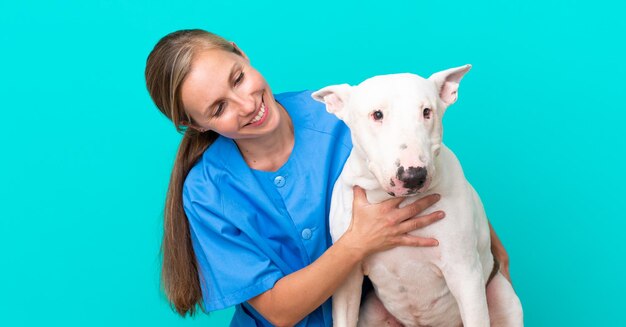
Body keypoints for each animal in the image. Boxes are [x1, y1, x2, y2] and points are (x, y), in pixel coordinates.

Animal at [310, 64, 520, 327]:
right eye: (377, 114)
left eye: (426, 112)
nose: (413, 176)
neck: (390, 201)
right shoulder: (347, 279)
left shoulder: (465, 274)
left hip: (503, 297)